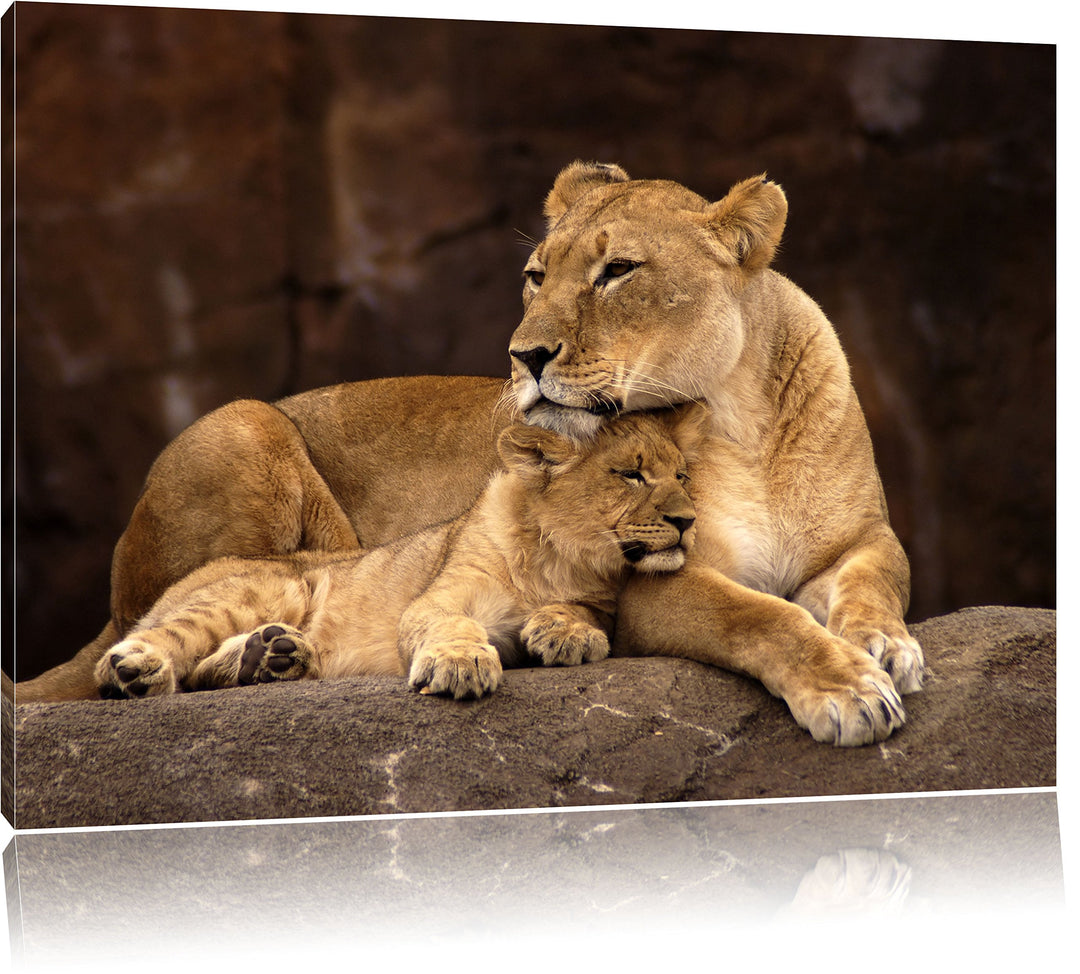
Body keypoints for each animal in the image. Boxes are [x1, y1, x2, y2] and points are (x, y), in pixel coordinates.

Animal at [94, 409, 702, 700]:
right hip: (271, 585)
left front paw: (565, 632)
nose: (688, 521)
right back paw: (137, 670)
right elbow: (452, 624)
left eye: (682, 476)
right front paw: (461, 665)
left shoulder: (602, 599)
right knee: (164, 644)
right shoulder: (437, 598)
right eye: (630, 474)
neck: (559, 558)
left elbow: (585, 612)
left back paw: (273, 657)